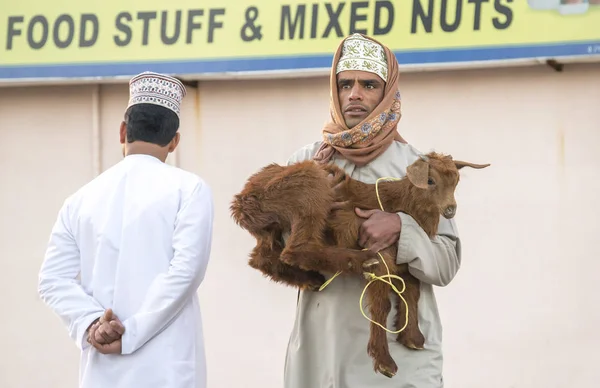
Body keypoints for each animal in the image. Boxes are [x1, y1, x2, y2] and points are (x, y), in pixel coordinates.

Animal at [230, 152, 488, 378]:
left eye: (456, 181)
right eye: (430, 181)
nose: (450, 210)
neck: (402, 204)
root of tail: (241, 201)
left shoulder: (407, 260)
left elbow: (413, 292)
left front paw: (412, 337)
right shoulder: (384, 258)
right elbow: (382, 305)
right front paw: (384, 362)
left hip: (270, 227)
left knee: (261, 259)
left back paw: (311, 280)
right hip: (308, 190)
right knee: (295, 249)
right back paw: (359, 260)